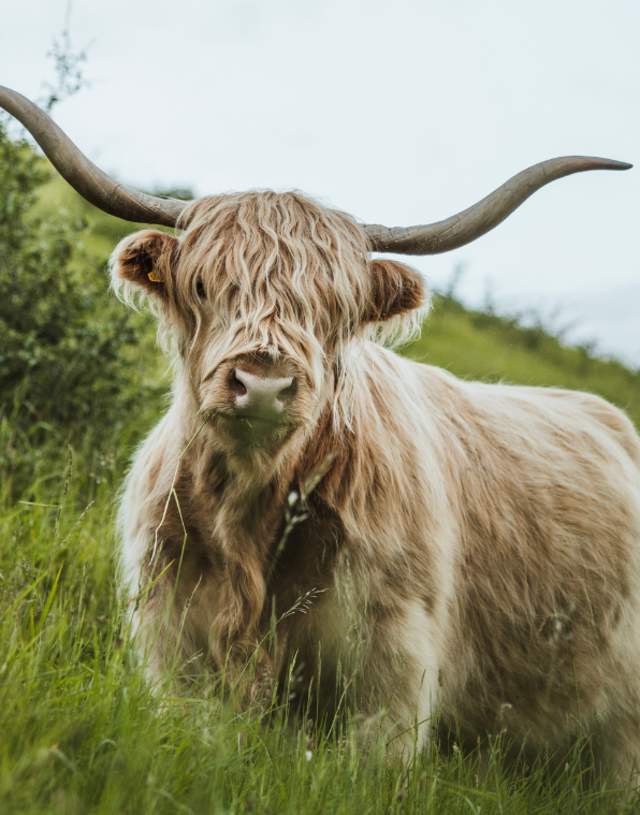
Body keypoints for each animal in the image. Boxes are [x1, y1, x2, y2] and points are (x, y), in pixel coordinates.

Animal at [3, 85, 638, 780]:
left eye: (336, 306)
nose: (263, 383)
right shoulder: (176, 649)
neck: (248, 518)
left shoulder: (392, 673)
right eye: (201, 284)